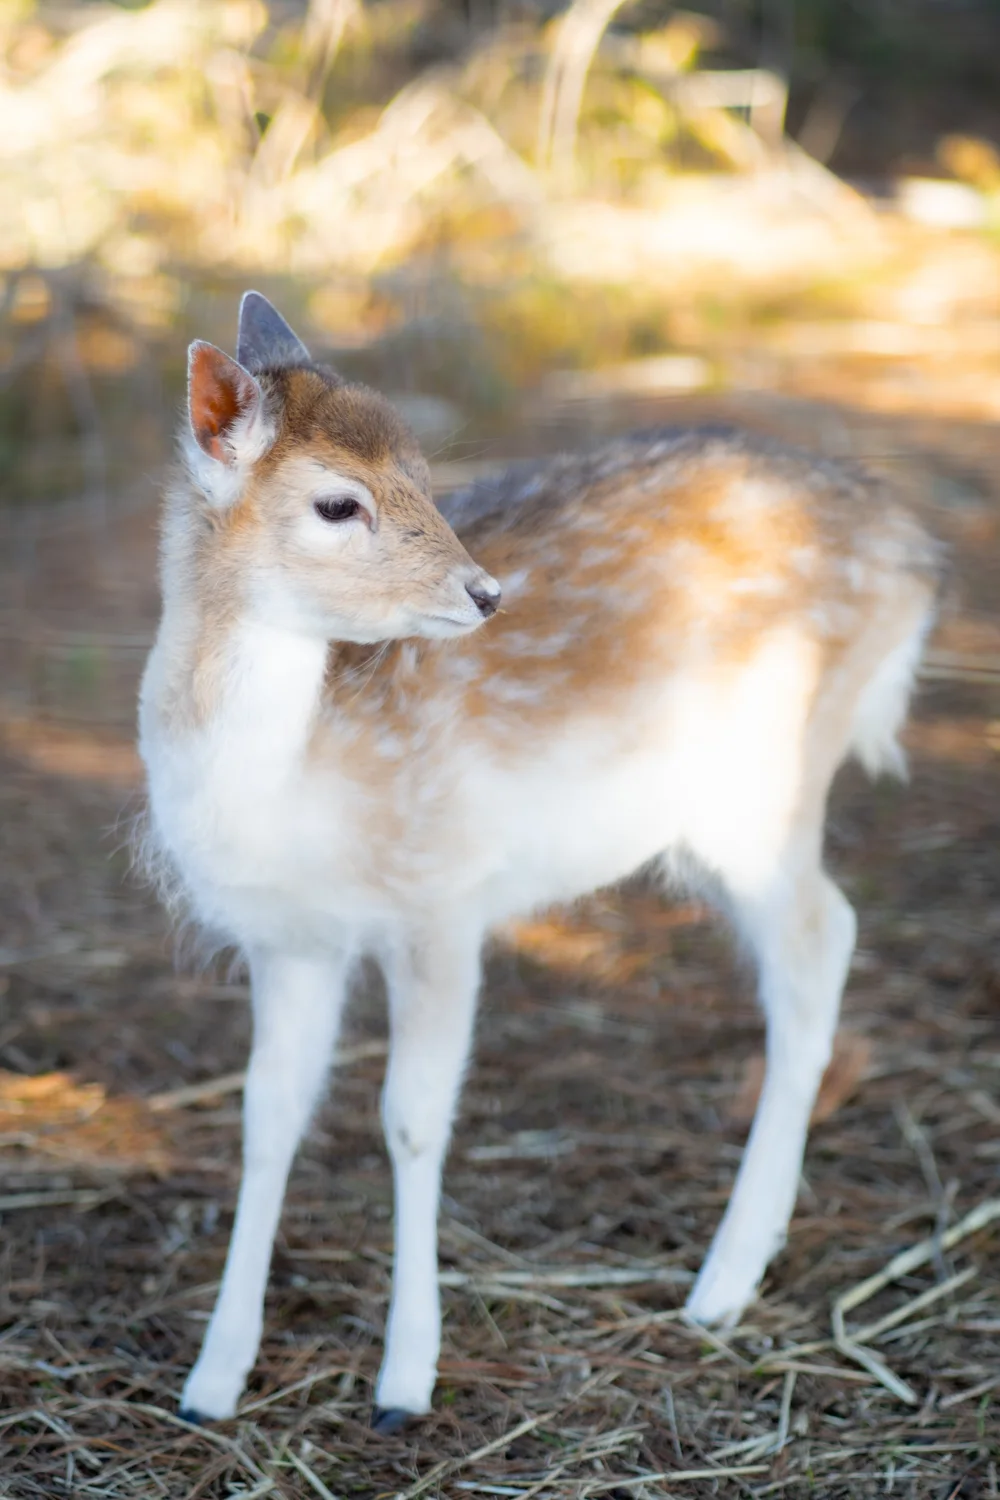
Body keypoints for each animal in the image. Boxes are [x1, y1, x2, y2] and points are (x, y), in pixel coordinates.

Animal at [137, 291, 939, 1430]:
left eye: (425, 474)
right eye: (339, 503)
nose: (483, 593)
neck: (296, 784)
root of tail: (916, 561)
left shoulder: (441, 897)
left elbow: (411, 1121)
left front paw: (406, 1381)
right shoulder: (289, 937)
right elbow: (265, 1116)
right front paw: (212, 1380)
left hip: (768, 785)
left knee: (824, 937)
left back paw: (722, 1283)